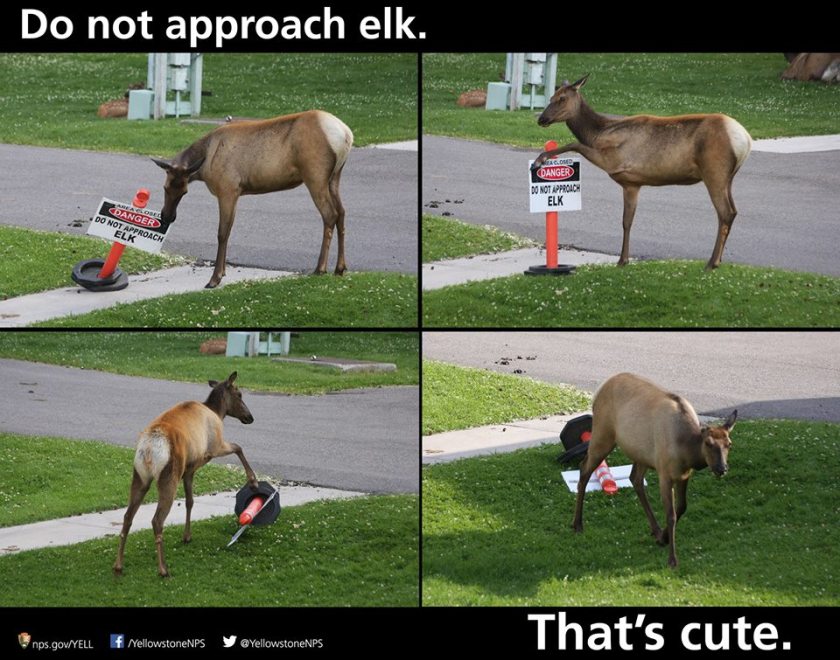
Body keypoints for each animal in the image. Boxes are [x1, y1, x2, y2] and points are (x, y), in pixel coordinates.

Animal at [113, 372, 259, 578]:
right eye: (239, 394)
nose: (250, 417)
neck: (217, 412)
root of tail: (150, 448)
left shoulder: (189, 469)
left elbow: (190, 501)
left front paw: (187, 536)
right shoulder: (214, 447)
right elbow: (239, 447)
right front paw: (253, 481)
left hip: (140, 476)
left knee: (127, 516)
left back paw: (118, 565)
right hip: (169, 476)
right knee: (157, 520)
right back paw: (163, 569)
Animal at [152, 110, 353, 289]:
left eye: (184, 191)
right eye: (166, 187)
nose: (167, 216)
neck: (205, 163)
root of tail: (346, 135)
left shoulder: (227, 189)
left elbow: (222, 233)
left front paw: (214, 279)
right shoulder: (236, 192)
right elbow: (229, 230)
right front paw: (223, 272)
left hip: (315, 175)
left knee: (330, 214)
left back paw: (320, 268)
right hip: (334, 176)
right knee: (342, 213)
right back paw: (340, 268)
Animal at [532, 74, 752, 269]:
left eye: (562, 98)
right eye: (550, 98)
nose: (541, 118)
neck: (598, 133)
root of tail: (746, 139)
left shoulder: (615, 162)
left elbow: (575, 143)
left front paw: (539, 160)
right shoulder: (632, 183)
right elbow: (627, 221)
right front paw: (624, 260)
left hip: (714, 171)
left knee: (725, 212)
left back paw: (712, 262)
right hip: (728, 176)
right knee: (732, 211)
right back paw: (718, 260)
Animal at [572, 373, 736, 568]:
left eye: (729, 444)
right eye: (708, 444)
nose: (722, 468)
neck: (687, 452)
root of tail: (599, 390)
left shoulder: (684, 475)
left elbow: (682, 507)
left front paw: (664, 538)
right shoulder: (664, 473)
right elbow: (671, 515)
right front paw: (672, 559)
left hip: (641, 454)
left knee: (634, 478)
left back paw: (656, 531)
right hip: (602, 434)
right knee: (584, 469)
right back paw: (577, 524)